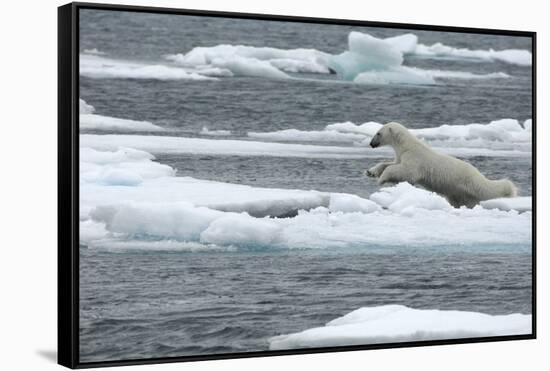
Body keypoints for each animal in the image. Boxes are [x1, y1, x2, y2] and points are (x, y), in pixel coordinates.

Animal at [368, 123, 520, 208]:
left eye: (378, 133)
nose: (371, 144)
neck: (407, 146)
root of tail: (480, 177)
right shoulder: (401, 156)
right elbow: (391, 164)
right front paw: (371, 172)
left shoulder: (415, 159)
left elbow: (405, 172)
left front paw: (381, 179)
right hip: (457, 192)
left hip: (466, 185)